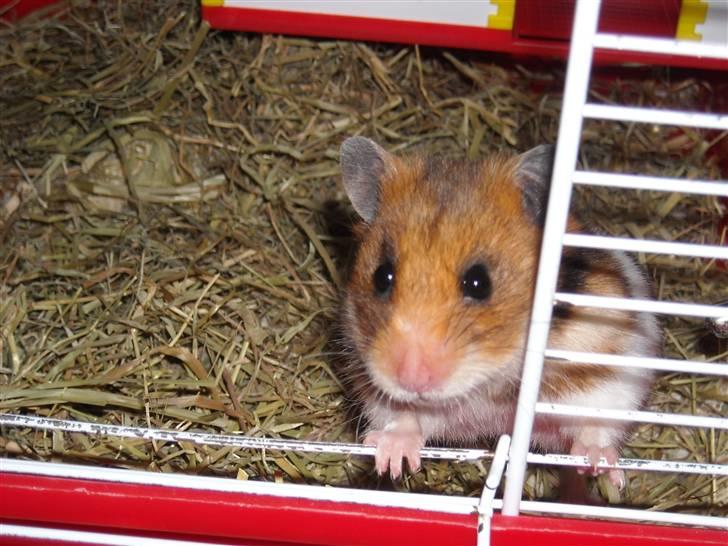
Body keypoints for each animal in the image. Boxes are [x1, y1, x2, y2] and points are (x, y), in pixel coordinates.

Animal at [338, 136, 662, 492]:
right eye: (382, 276)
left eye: (479, 282)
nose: (411, 380)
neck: (488, 378)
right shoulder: (373, 384)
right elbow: (402, 419)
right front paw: (391, 461)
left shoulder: (609, 369)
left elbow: (596, 424)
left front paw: (598, 466)